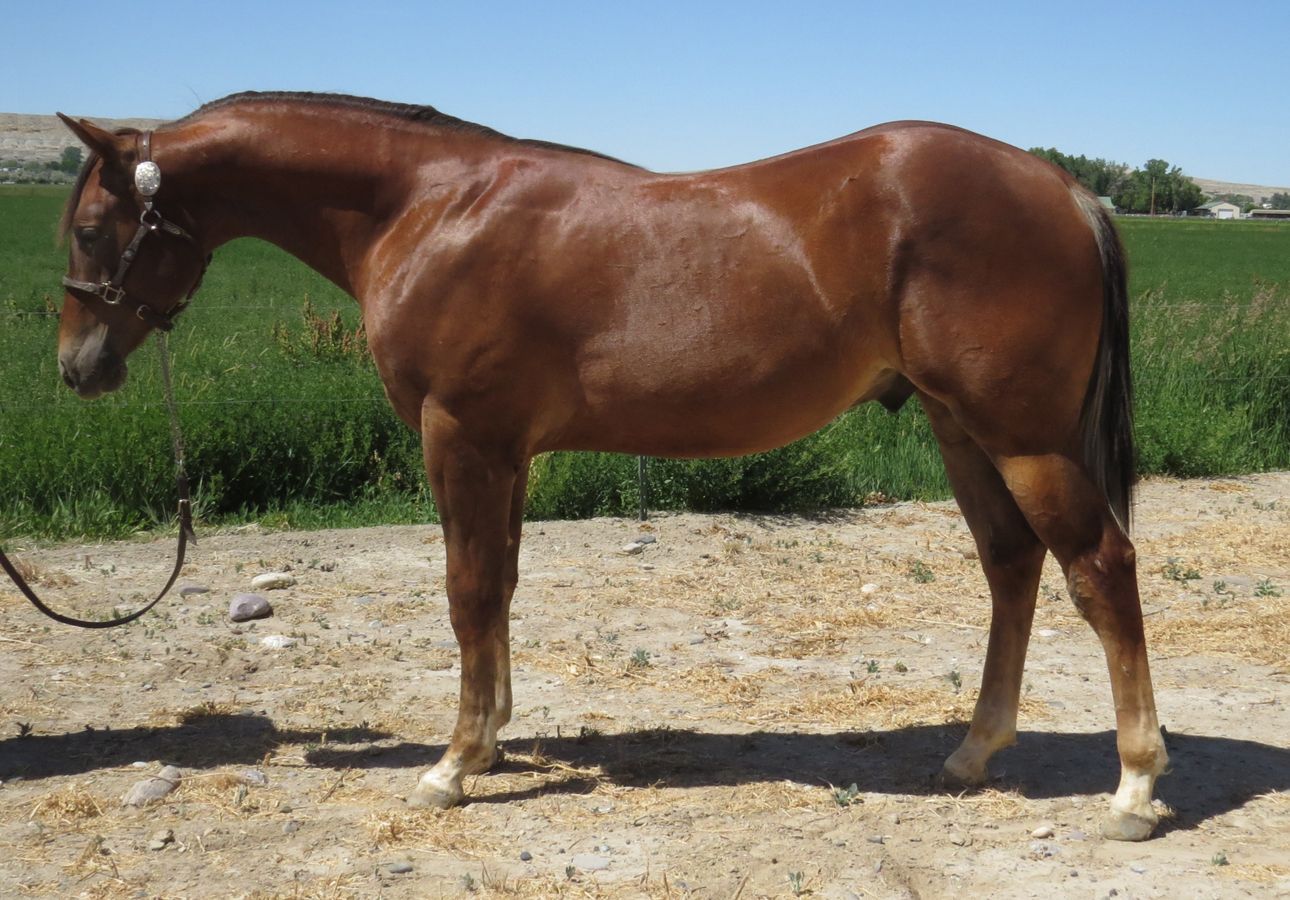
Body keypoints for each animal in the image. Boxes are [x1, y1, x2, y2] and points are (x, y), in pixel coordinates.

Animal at [54, 91, 1167, 840]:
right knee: (1012, 567)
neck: (430, 209)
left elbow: (466, 593)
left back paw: (1134, 786)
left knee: (1100, 569)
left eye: (94, 227)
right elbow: (499, 589)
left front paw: (452, 766)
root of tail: (1069, 189)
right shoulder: (504, 452)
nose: (76, 367)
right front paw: (493, 737)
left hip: (1021, 437)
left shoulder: (460, 438)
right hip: (959, 428)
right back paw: (974, 752)